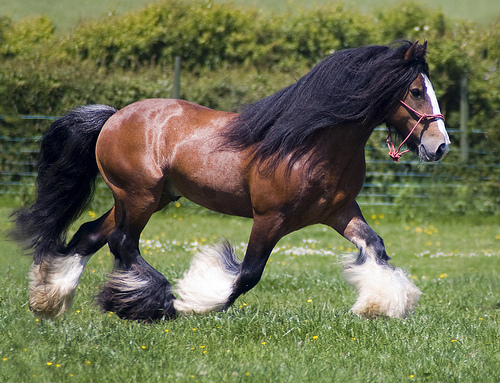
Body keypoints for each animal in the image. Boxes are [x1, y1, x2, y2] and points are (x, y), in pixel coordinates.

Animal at [10, 41, 450, 320]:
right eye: (416, 90)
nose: (441, 145)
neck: (311, 144)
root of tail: (114, 116)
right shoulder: (270, 218)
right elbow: (248, 274)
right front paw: (195, 300)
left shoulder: (339, 211)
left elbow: (375, 246)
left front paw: (378, 305)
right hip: (139, 196)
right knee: (122, 243)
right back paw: (152, 303)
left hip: (148, 197)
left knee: (90, 235)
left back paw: (49, 300)